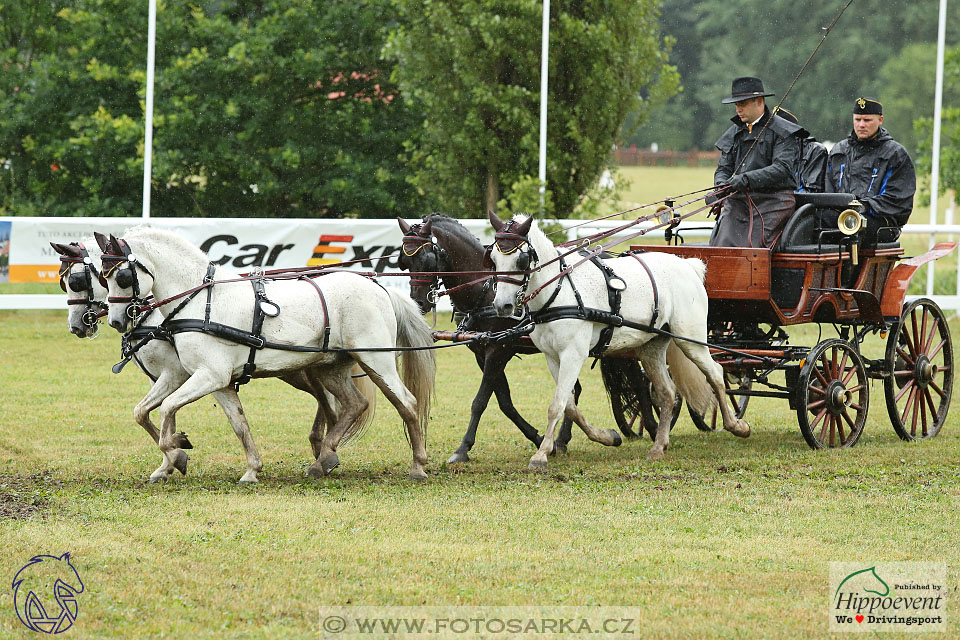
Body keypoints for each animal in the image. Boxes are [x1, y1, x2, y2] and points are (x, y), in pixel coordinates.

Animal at [50, 240, 376, 484]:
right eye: (64, 282)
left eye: (78, 280)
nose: (77, 326)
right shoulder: (171, 377)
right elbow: (146, 413)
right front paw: (172, 457)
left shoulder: (178, 373)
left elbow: (159, 412)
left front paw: (175, 453)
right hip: (304, 368)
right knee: (331, 401)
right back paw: (324, 450)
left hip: (301, 368)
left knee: (331, 402)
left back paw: (324, 450)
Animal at [94, 226, 436, 480]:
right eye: (102, 276)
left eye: (122, 276)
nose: (116, 321)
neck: (201, 300)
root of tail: (380, 288)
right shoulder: (213, 381)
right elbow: (237, 423)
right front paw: (251, 470)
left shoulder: (209, 375)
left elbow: (166, 409)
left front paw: (176, 451)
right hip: (330, 368)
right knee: (353, 404)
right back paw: (322, 460)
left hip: (377, 360)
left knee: (406, 403)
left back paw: (418, 465)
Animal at [398, 212, 652, 462]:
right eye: (404, 262)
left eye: (427, 260)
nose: (418, 303)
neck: (485, 291)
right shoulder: (483, 352)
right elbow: (505, 403)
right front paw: (540, 440)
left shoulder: (499, 351)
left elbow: (480, 401)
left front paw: (462, 449)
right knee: (577, 389)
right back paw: (563, 440)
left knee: (639, 382)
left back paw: (649, 425)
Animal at [488, 212, 752, 468]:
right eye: (492, 258)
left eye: (521, 260)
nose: (503, 306)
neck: (559, 290)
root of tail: (687, 264)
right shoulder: (553, 357)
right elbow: (569, 406)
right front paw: (606, 437)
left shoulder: (573, 354)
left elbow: (558, 405)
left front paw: (541, 454)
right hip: (652, 347)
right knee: (667, 392)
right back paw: (659, 446)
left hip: (691, 340)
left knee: (716, 374)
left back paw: (736, 425)